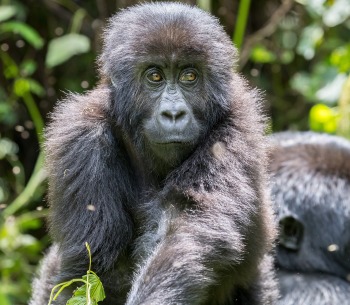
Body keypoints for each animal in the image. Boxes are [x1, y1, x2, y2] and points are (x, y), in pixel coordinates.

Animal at [30, 2, 278, 304]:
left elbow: (186, 229)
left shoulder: (236, 123)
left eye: (189, 76)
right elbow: (94, 269)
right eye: (155, 76)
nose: (173, 113)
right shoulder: (80, 136)